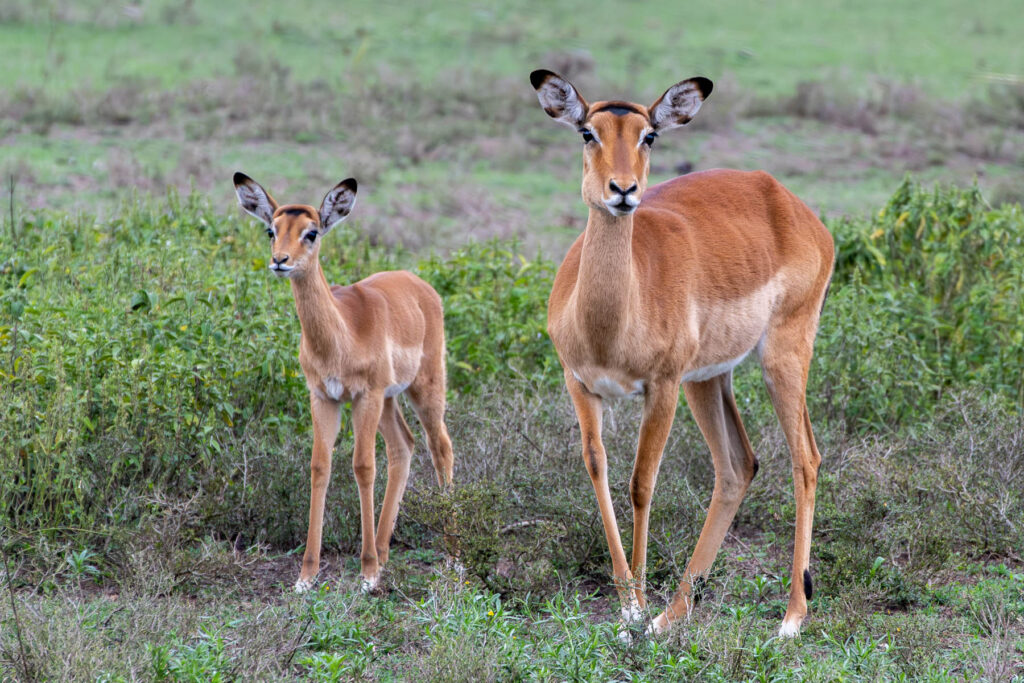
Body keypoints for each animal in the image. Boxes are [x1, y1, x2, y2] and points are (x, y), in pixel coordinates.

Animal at [233, 172, 454, 593]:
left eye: (312, 232)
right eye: (272, 230)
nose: (280, 261)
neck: (342, 334)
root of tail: (419, 284)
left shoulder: (364, 396)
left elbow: (363, 466)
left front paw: (367, 574)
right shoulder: (324, 397)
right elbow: (320, 466)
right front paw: (306, 575)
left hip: (424, 387)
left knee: (440, 447)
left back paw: (448, 544)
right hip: (389, 401)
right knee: (403, 447)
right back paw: (383, 550)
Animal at [530, 70, 834, 638]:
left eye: (649, 135)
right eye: (587, 132)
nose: (623, 191)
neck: (609, 323)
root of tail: (788, 201)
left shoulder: (662, 387)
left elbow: (641, 484)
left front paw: (635, 608)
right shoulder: (579, 383)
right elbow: (597, 468)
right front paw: (631, 609)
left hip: (781, 356)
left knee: (805, 459)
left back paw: (791, 617)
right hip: (709, 378)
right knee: (738, 466)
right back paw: (671, 615)